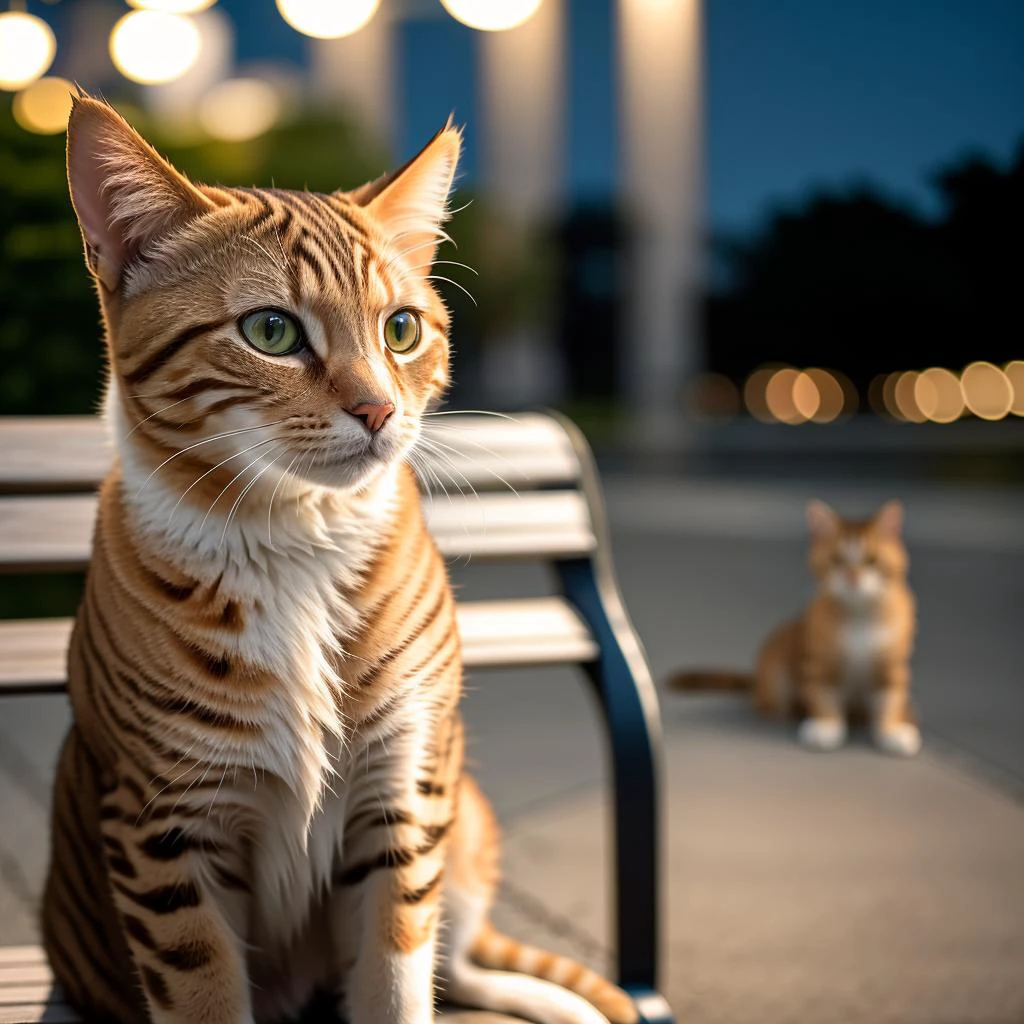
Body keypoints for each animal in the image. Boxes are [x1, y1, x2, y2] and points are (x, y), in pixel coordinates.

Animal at [44, 96, 634, 1024]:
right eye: (270, 330)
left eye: (402, 329)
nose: (380, 410)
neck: (295, 540)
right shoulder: (165, 831)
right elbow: (205, 990)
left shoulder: (403, 791)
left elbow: (397, 977)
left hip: (463, 813)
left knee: (461, 961)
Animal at [667, 499, 925, 757]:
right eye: (836, 560)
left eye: (872, 561)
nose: (852, 578)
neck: (859, 617)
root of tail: (757, 680)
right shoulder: (817, 660)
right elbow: (823, 697)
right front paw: (825, 727)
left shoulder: (893, 665)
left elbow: (891, 700)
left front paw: (892, 731)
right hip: (776, 659)